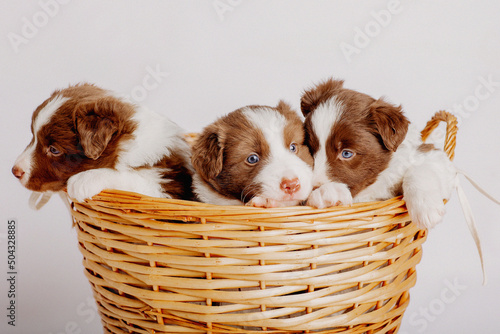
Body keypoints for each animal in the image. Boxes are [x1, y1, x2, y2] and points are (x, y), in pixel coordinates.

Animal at [11, 83, 195, 204]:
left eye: (54, 149)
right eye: (33, 137)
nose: (15, 171)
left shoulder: (168, 189)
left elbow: (132, 178)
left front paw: (84, 180)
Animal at [300, 79, 458, 230]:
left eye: (346, 153)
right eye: (310, 149)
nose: (311, 189)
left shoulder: (433, 156)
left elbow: (419, 169)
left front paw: (426, 207)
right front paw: (326, 193)